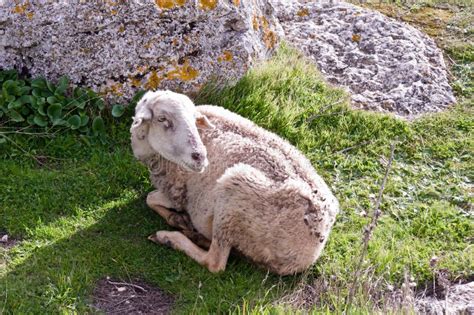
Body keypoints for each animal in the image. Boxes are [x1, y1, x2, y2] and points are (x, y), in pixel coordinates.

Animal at [130, 90, 338, 276]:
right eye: (162, 119)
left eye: (194, 121)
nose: (200, 157)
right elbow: (150, 198)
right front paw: (178, 219)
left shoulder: (179, 191)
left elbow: (150, 198)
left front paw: (175, 219)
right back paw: (194, 234)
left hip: (234, 196)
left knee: (215, 262)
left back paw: (169, 238)